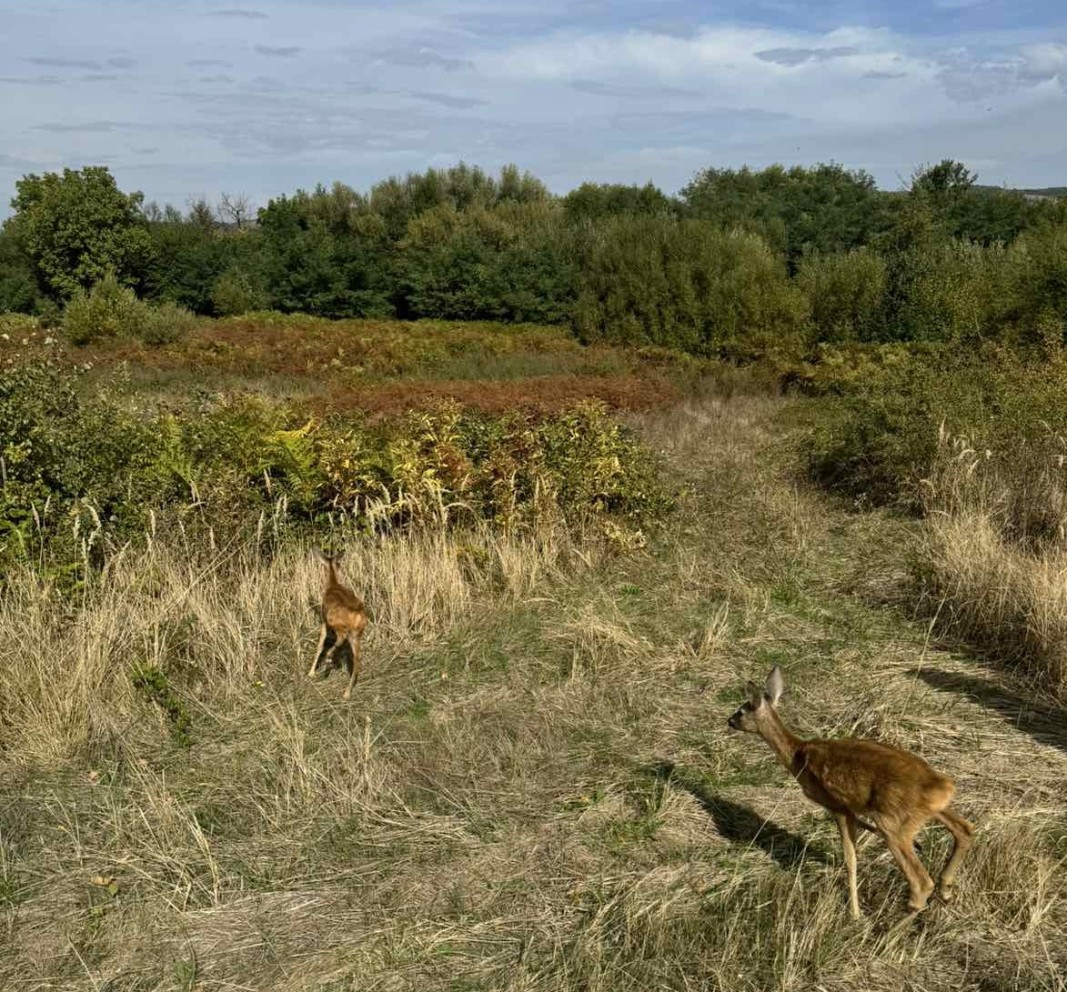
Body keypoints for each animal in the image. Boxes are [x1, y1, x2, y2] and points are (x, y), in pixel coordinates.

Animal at [311, 546, 369, 699]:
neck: (333, 585)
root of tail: (357, 614)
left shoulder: (324, 620)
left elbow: (319, 644)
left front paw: (311, 672)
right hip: (357, 634)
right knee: (357, 660)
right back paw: (347, 693)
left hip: (337, 624)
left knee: (340, 638)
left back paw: (329, 658)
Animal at [729, 665, 973, 921]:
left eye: (741, 710)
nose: (729, 721)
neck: (797, 757)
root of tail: (943, 786)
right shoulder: (850, 809)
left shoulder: (836, 806)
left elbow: (850, 859)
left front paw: (854, 914)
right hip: (929, 811)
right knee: (965, 830)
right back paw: (946, 890)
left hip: (894, 823)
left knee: (921, 882)